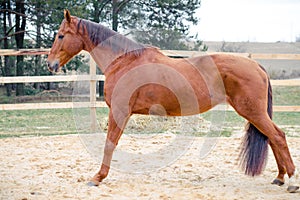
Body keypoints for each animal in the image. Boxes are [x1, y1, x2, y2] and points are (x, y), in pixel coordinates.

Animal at [48, 10, 298, 193]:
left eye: (60, 35)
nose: (50, 64)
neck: (125, 61)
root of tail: (256, 65)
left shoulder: (119, 112)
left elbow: (109, 144)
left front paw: (98, 177)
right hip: (255, 114)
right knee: (273, 138)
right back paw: (279, 178)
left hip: (253, 112)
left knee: (278, 136)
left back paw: (292, 181)